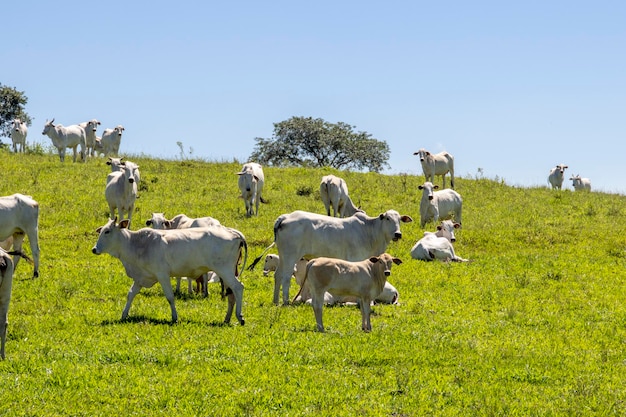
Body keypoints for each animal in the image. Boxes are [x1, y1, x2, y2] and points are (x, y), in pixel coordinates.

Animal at [92, 218, 246, 324]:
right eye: (101, 230)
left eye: (107, 231)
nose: (94, 249)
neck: (137, 244)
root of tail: (233, 232)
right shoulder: (141, 277)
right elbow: (130, 295)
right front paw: (124, 315)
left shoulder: (162, 275)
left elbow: (170, 297)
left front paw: (174, 317)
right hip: (227, 272)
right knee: (231, 293)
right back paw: (227, 318)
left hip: (224, 270)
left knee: (238, 287)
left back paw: (239, 316)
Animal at [246, 210, 412, 304]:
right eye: (388, 219)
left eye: (399, 220)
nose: (398, 234)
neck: (369, 232)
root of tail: (285, 217)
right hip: (291, 255)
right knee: (286, 277)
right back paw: (285, 301)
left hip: (283, 255)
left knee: (278, 275)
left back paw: (275, 301)